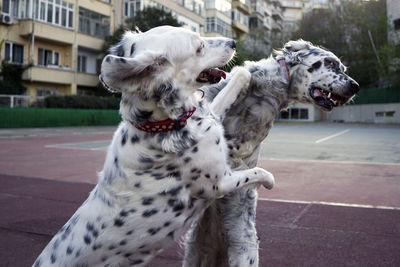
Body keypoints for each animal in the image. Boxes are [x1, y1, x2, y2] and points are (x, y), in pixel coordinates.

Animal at [32, 25, 276, 267]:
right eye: (199, 47)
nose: (233, 42)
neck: (162, 124)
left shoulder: (212, 118)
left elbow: (232, 85)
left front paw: (248, 71)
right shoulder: (219, 182)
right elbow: (257, 172)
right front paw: (269, 181)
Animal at [184, 39, 360, 267]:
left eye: (343, 69)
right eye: (330, 63)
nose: (355, 86)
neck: (268, 90)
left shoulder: (245, 142)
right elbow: (242, 73)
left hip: (244, 246)